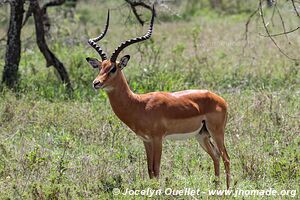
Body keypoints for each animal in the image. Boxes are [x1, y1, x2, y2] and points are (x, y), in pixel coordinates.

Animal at [85, 7, 231, 188]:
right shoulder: (146, 141)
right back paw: (216, 188)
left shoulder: (158, 139)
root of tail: (221, 100)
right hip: (202, 135)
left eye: (113, 68)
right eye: (100, 67)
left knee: (226, 158)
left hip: (216, 132)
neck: (139, 104)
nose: (96, 83)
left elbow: (157, 170)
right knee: (216, 157)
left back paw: (227, 190)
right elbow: (150, 171)